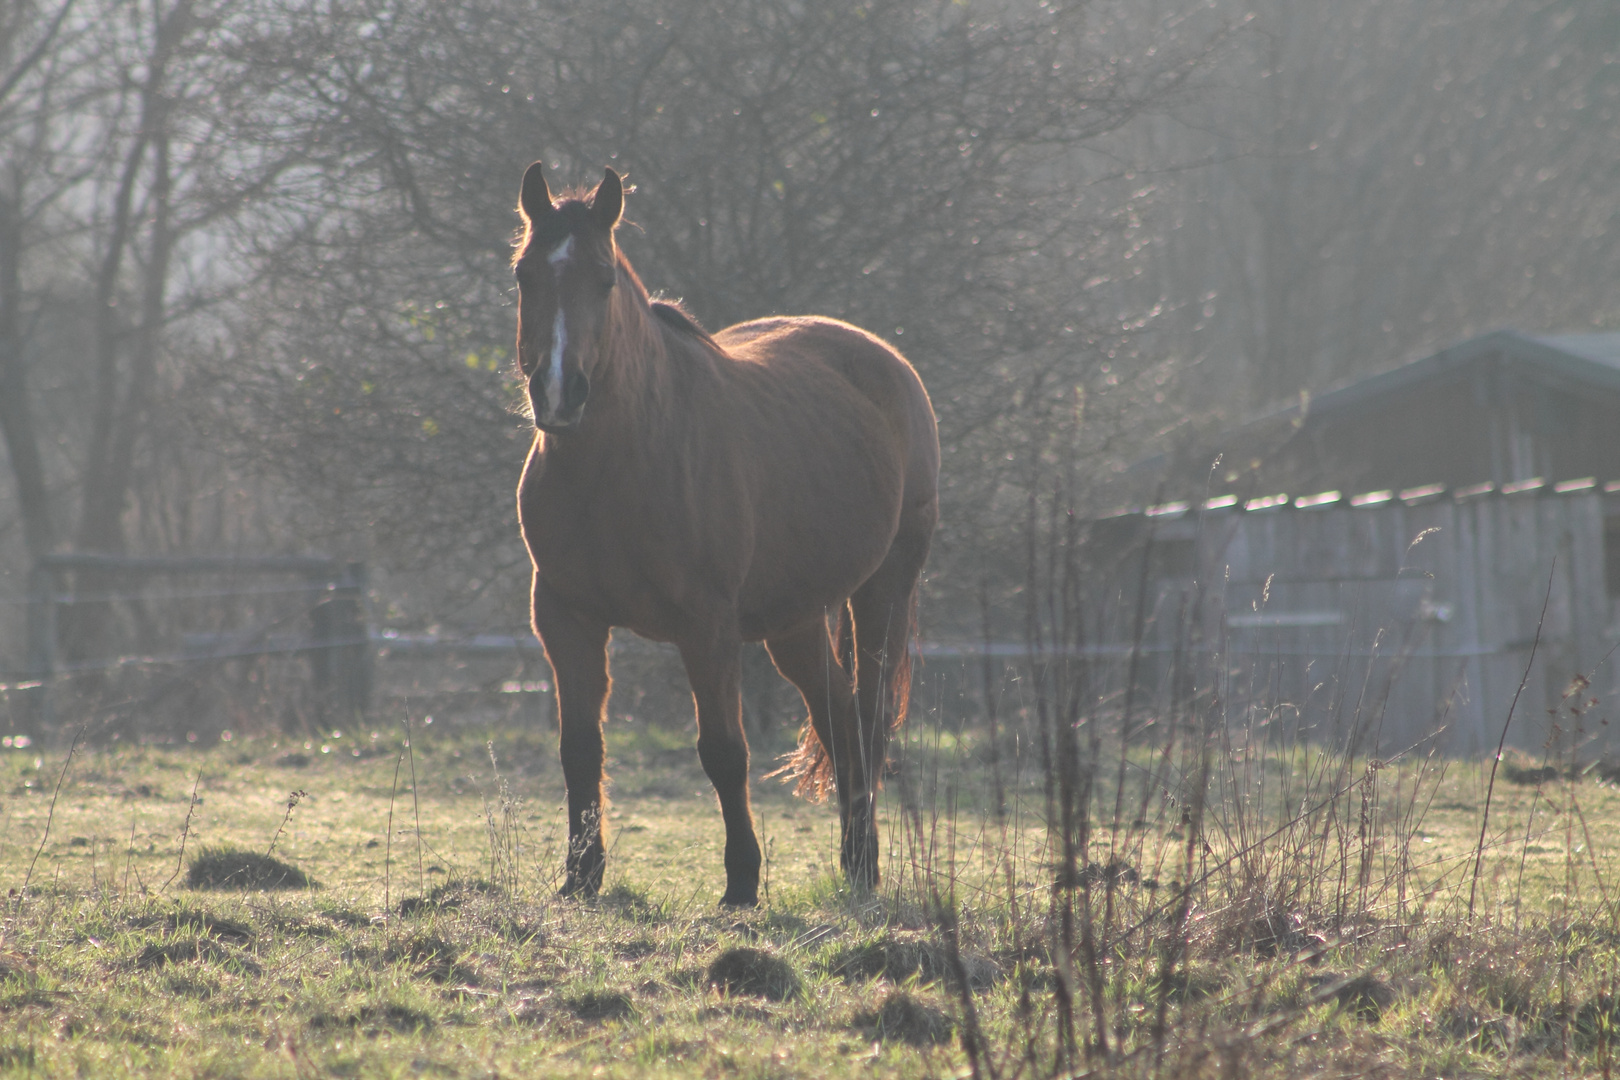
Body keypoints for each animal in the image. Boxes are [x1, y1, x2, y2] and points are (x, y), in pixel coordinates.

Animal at [505, 160, 939, 906]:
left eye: (604, 278)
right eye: (524, 274)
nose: (560, 394)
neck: (619, 465)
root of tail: (886, 360)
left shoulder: (706, 626)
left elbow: (723, 752)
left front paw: (741, 883)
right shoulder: (565, 618)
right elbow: (579, 749)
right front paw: (580, 879)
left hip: (882, 591)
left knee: (868, 721)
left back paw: (864, 866)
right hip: (795, 620)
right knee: (839, 722)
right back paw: (855, 865)